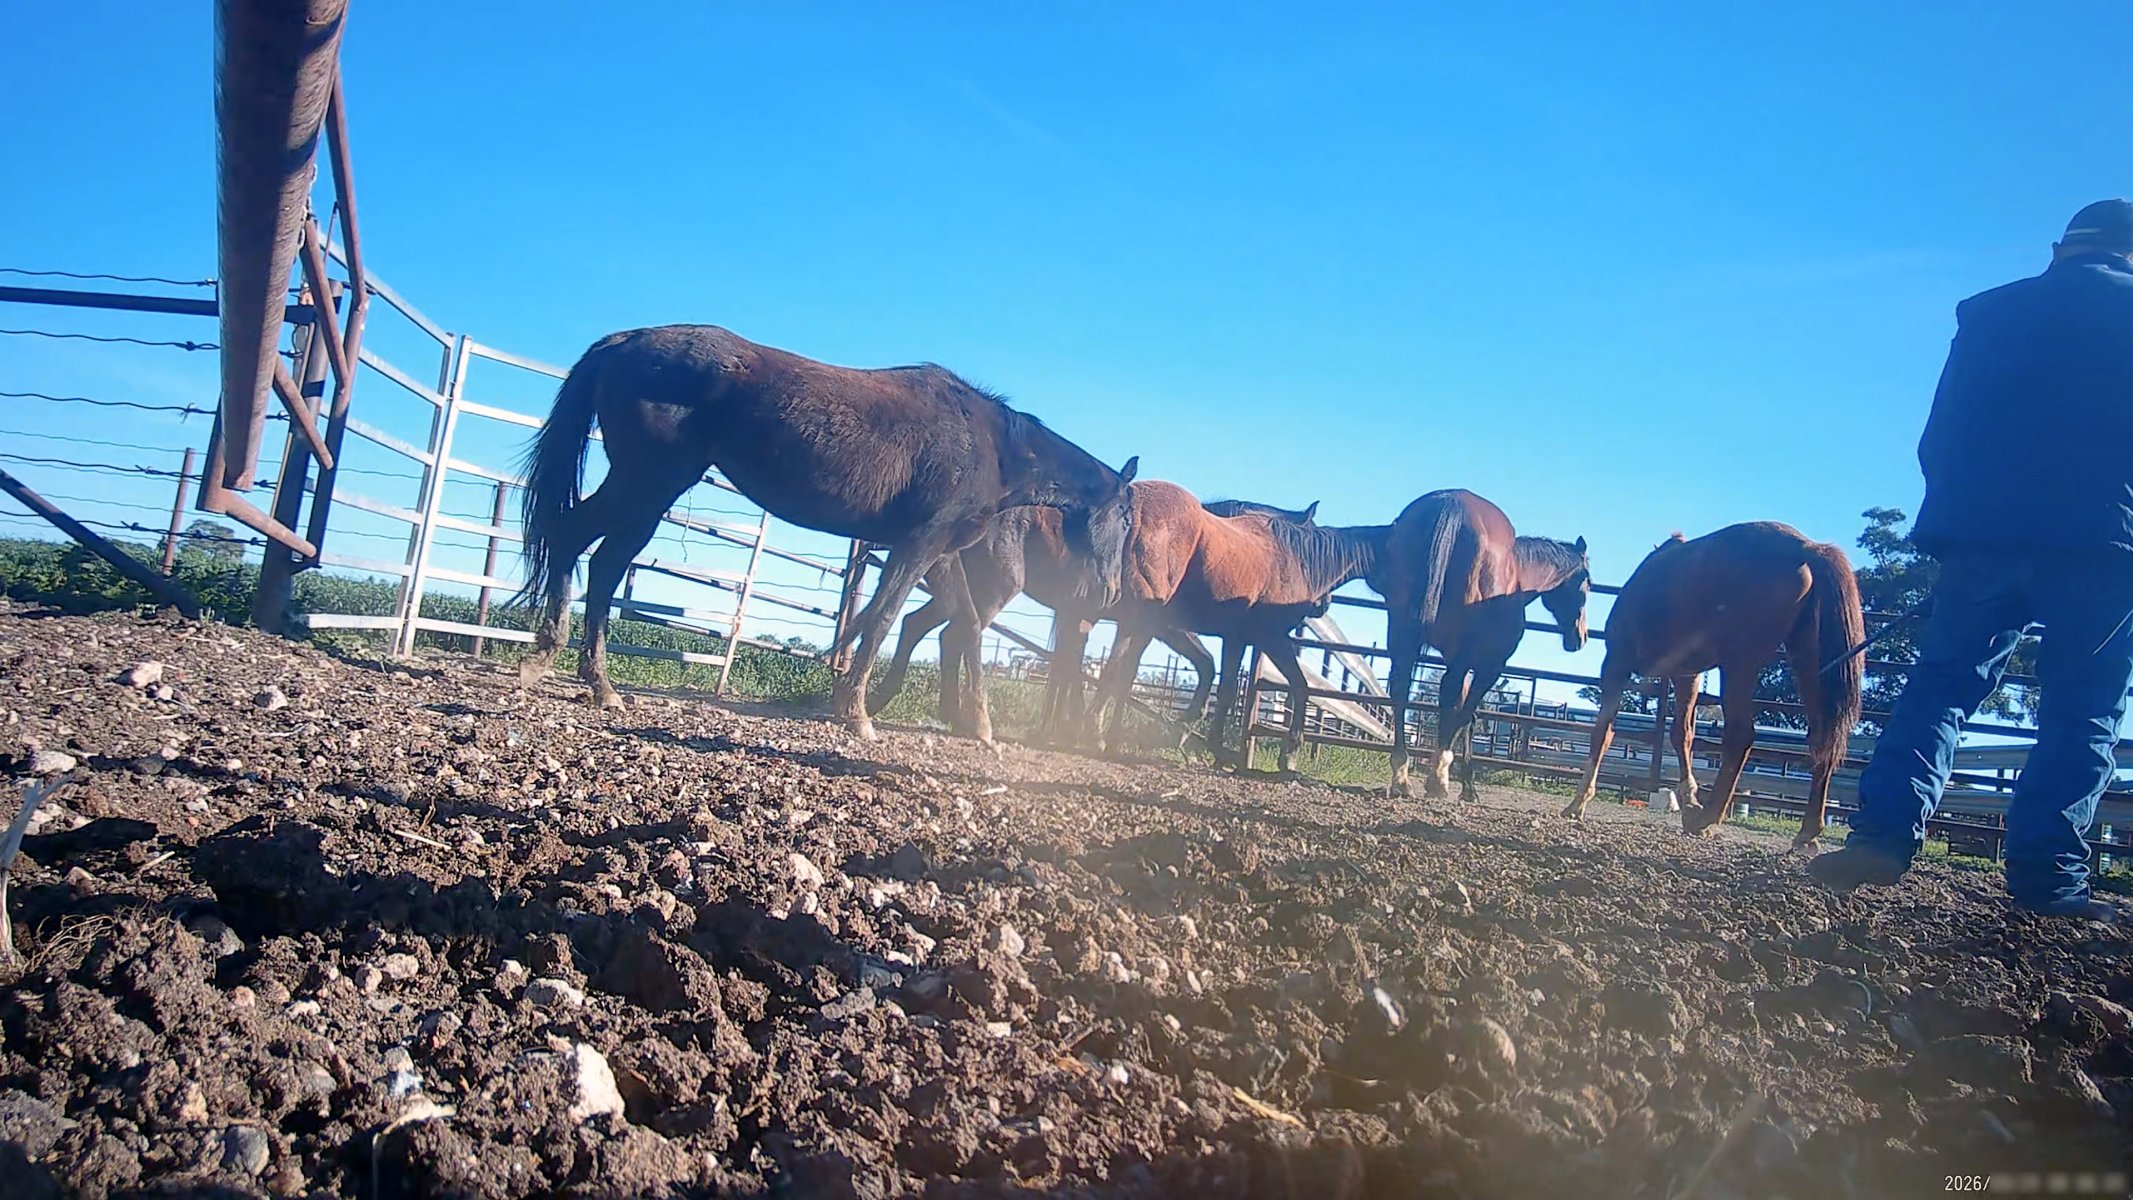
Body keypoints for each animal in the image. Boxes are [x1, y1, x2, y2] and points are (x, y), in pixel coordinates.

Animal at [514, 325, 1137, 742]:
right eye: (1127, 518)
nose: (1108, 593)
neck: (993, 447)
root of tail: (624, 341)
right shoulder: (918, 544)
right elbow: (883, 619)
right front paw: (856, 713)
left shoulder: (941, 554)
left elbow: (965, 624)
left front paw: (978, 725)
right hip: (648, 482)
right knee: (579, 544)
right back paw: (559, 664)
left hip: (648, 491)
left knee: (597, 559)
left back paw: (590, 680)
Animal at [869, 498, 1318, 740]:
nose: (1314, 607)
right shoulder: (1137, 625)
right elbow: (1105, 671)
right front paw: (1087, 730)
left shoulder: (1101, 620)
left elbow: (1083, 670)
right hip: (990, 590)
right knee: (950, 633)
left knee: (922, 626)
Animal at [1088, 481, 1387, 771]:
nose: (1323, 605)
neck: (1286, 556)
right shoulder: (1270, 637)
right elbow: (1298, 686)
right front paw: (1288, 755)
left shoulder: (1224, 636)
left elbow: (1218, 677)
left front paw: (1193, 734)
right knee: (1114, 667)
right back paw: (1097, 734)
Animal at [1376, 489, 1591, 800]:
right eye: (1587, 583)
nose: (1581, 637)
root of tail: (1451, 504)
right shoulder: (1489, 665)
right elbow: (1465, 714)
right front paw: (1461, 784)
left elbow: (1465, 714)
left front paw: (1466, 784)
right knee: (1444, 694)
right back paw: (1437, 780)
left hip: (1402, 636)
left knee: (1401, 690)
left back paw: (1401, 779)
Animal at [1560, 522, 1864, 848]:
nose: (1575, 637)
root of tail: (1806, 547)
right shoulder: (1687, 675)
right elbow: (1682, 735)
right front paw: (1689, 800)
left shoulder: (1616, 663)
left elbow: (1602, 733)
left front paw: (1578, 804)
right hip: (1808, 663)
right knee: (1822, 742)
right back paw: (1807, 832)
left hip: (1738, 665)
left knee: (1740, 736)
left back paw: (1708, 817)